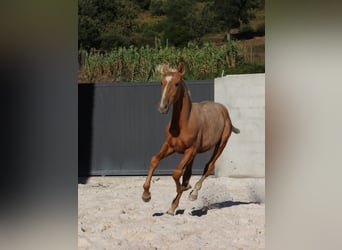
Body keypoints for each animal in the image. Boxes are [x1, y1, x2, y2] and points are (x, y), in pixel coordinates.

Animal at [142, 61, 240, 215]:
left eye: (176, 84)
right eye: (162, 82)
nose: (163, 107)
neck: (183, 123)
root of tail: (224, 110)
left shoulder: (189, 150)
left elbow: (176, 173)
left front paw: (185, 188)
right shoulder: (169, 146)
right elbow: (154, 160)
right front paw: (146, 195)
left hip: (220, 144)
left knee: (208, 166)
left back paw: (193, 193)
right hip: (194, 154)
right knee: (188, 173)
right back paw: (174, 205)